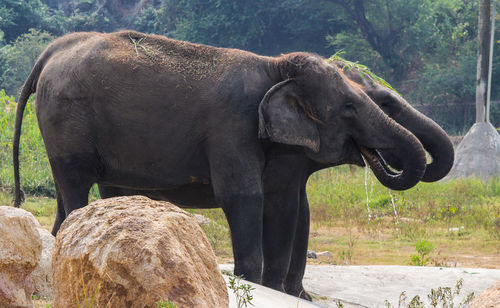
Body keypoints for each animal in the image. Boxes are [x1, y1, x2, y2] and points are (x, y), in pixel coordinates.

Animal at [14, 30, 454, 300]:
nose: (377, 156)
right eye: (349, 107)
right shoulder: (232, 126)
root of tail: (53, 51)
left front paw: (291, 294)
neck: (276, 66)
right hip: (66, 123)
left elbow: (292, 207)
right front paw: (259, 285)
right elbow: (245, 197)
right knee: (75, 186)